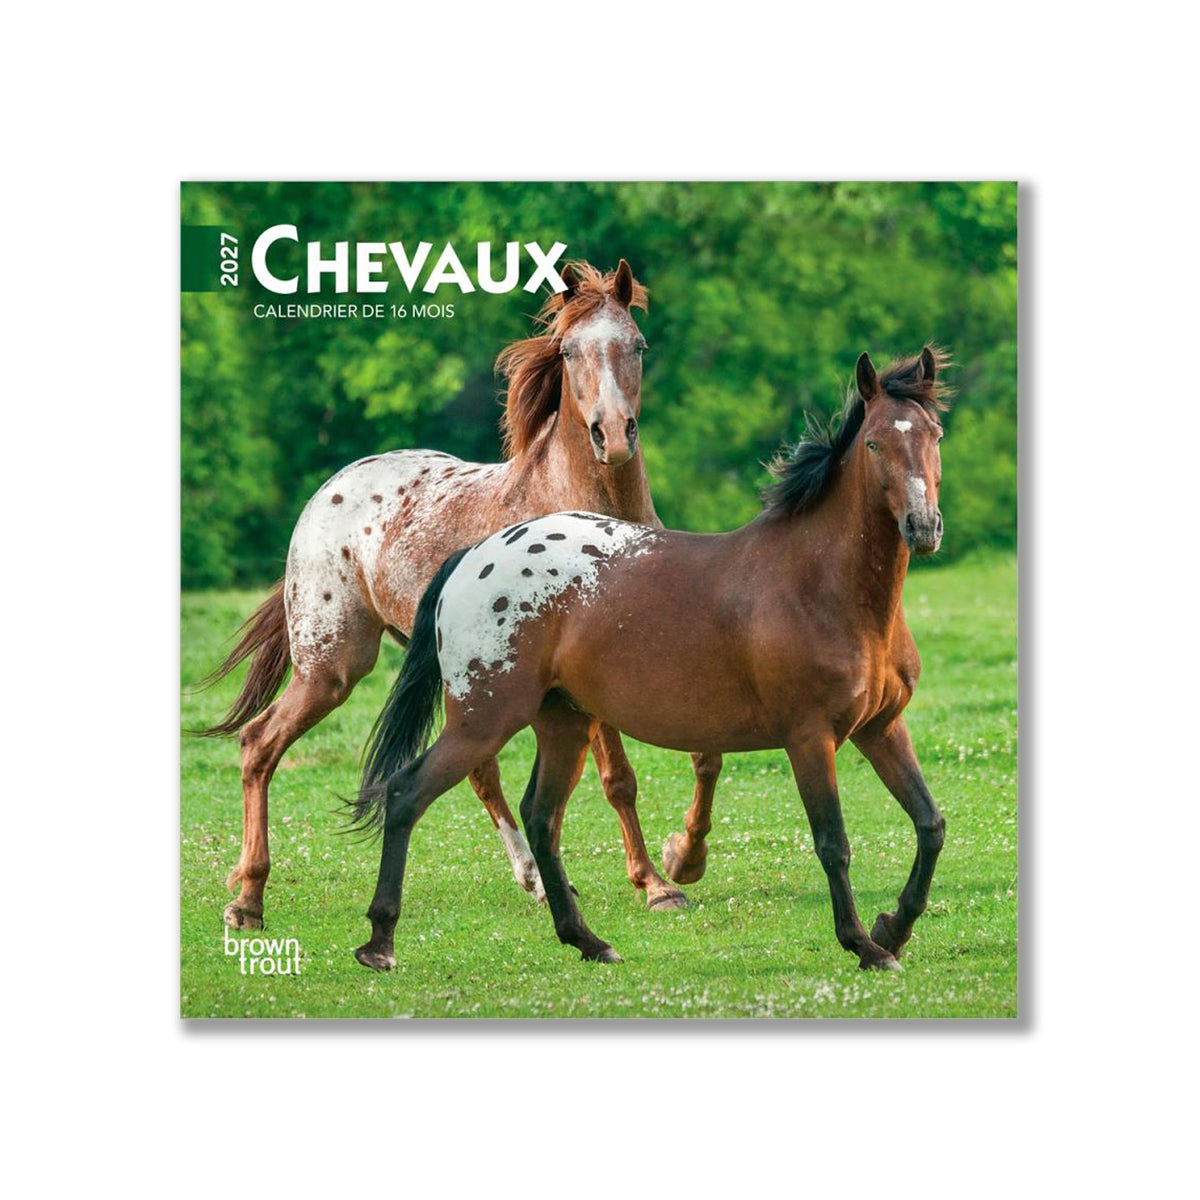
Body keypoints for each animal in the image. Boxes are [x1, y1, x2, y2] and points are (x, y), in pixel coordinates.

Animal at [199, 260, 720, 930]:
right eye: (569, 351)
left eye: (639, 344)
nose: (613, 435)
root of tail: (327, 492)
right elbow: (619, 779)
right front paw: (657, 884)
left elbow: (702, 754)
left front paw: (684, 858)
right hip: (332, 667)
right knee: (259, 744)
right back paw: (247, 898)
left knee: (479, 770)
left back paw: (537, 880)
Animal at [348, 347, 951, 972]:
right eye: (875, 443)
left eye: (935, 434)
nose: (923, 527)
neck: (820, 586)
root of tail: (473, 556)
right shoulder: (810, 738)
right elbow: (833, 844)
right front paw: (864, 945)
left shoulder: (882, 727)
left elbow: (929, 823)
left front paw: (894, 927)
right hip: (483, 720)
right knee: (407, 793)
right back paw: (380, 943)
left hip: (562, 723)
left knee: (541, 817)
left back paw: (587, 940)